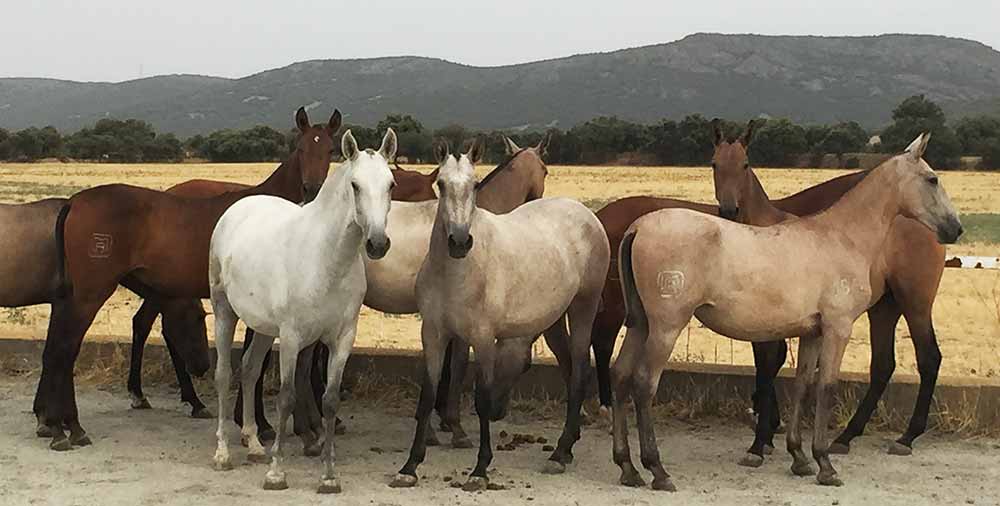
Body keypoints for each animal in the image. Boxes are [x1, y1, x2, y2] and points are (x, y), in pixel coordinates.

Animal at [32, 106, 344, 450]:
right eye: (300, 148)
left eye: (331, 150)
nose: (312, 190)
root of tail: (74, 202)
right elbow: (257, 364)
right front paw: (257, 425)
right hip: (91, 294)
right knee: (65, 349)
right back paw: (68, 427)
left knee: (57, 347)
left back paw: (55, 422)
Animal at [209, 128, 396, 492]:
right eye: (355, 185)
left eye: (391, 184)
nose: (378, 244)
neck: (326, 258)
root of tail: (235, 210)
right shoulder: (292, 337)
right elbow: (287, 397)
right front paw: (276, 473)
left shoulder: (342, 339)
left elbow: (330, 400)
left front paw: (329, 476)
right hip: (225, 311)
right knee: (224, 374)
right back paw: (223, 454)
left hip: (263, 329)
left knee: (249, 370)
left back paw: (254, 445)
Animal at [390, 138, 608, 490]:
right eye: (441, 184)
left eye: (474, 184)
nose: (459, 241)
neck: (456, 271)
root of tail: (585, 215)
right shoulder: (434, 334)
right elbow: (428, 396)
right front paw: (410, 466)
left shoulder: (482, 337)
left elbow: (480, 399)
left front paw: (480, 468)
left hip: (582, 309)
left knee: (578, 370)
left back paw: (560, 453)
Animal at [612, 132, 964, 488]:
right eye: (932, 179)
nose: (955, 228)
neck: (842, 238)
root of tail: (638, 228)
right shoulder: (838, 328)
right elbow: (826, 387)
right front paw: (824, 463)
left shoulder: (812, 333)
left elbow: (802, 385)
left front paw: (799, 457)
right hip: (665, 327)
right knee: (643, 383)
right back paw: (656, 468)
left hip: (640, 325)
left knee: (620, 375)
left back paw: (628, 467)